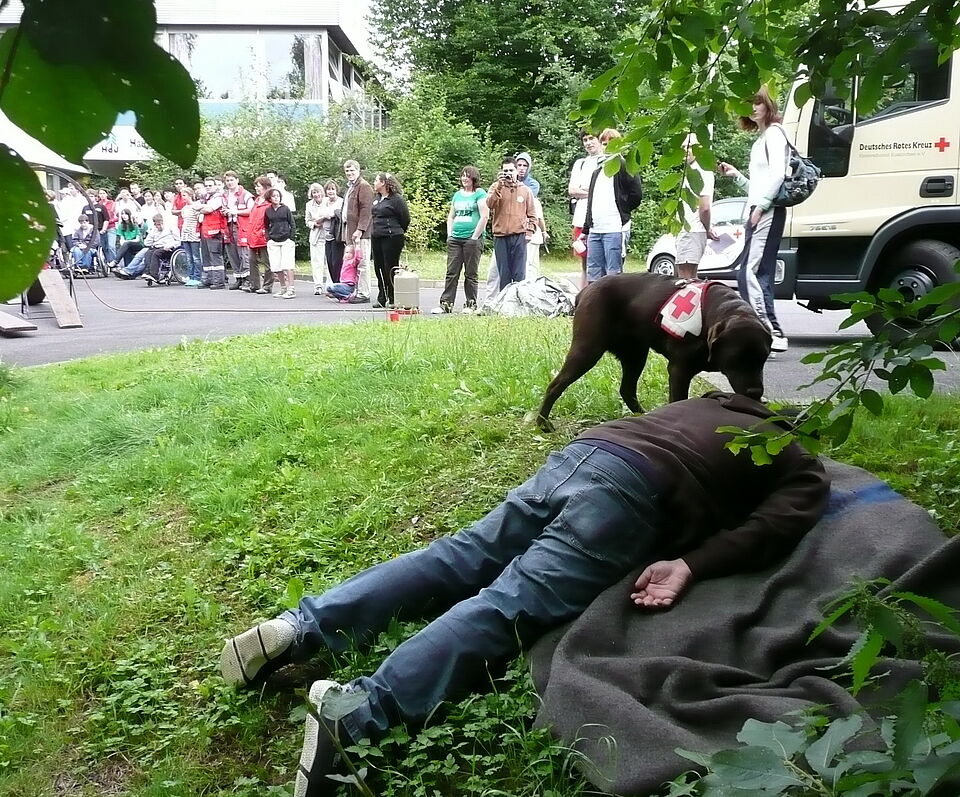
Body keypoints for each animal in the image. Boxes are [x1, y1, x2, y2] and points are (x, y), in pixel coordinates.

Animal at [536, 273, 771, 430]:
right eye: (735, 360)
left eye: (763, 359)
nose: (755, 392)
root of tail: (585, 291)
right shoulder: (679, 371)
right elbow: (678, 402)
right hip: (587, 351)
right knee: (555, 385)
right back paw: (543, 423)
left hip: (636, 355)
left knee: (627, 389)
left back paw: (642, 416)